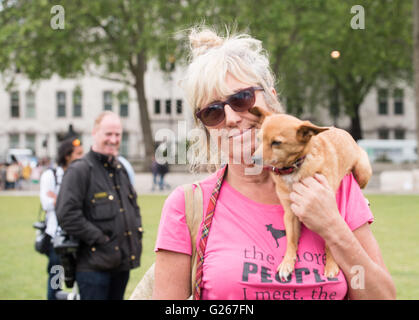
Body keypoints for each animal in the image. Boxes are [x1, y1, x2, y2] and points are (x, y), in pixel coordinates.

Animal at [251, 106, 372, 278]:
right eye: (259, 139)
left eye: (276, 143)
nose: (253, 160)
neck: (294, 167)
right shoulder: (290, 213)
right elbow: (291, 240)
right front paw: (287, 263)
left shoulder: (330, 212)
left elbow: (331, 241)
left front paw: (331, 265)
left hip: (362, 170)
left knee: (361, 185)